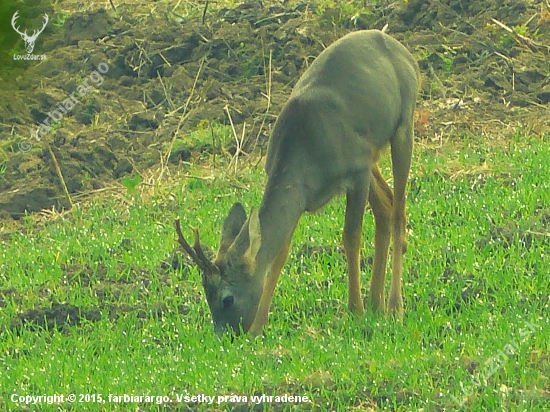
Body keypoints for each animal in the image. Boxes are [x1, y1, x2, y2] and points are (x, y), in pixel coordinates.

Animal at [177, 29, 422, 338]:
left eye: (227, 299)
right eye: (205, 294)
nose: (225, 335)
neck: (306, 156)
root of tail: (402, 50)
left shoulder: (355, 170)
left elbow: (351, 236)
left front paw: (355, 310)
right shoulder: (303, 194)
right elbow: (280, 254)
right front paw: (259, 326)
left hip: (402, 126)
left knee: (398, 211)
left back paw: (393, 305)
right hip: (372, 154)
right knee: (386, 207)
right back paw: (376, 303)